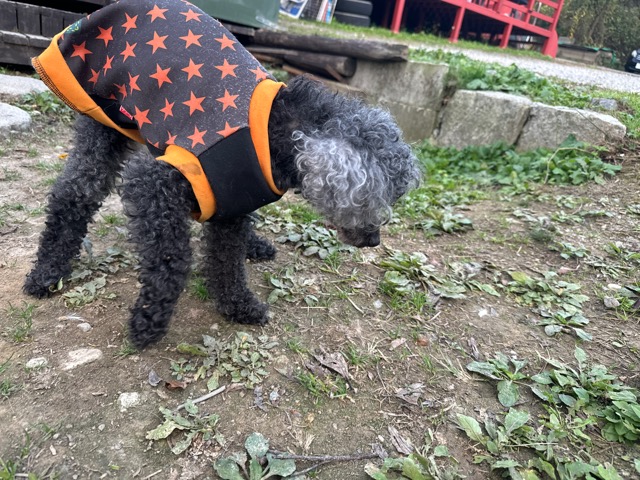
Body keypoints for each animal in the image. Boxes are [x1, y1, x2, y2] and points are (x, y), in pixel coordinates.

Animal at [23, 0, 420, 349]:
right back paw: (47, 272)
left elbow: (228, 259)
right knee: (74, 193)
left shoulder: (233, 197)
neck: (277, 129)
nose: (374, 241)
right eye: (377, 198)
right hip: (103, 117)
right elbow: (172, 259)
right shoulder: (155, 183)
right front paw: (149, 320)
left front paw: (238, 305)